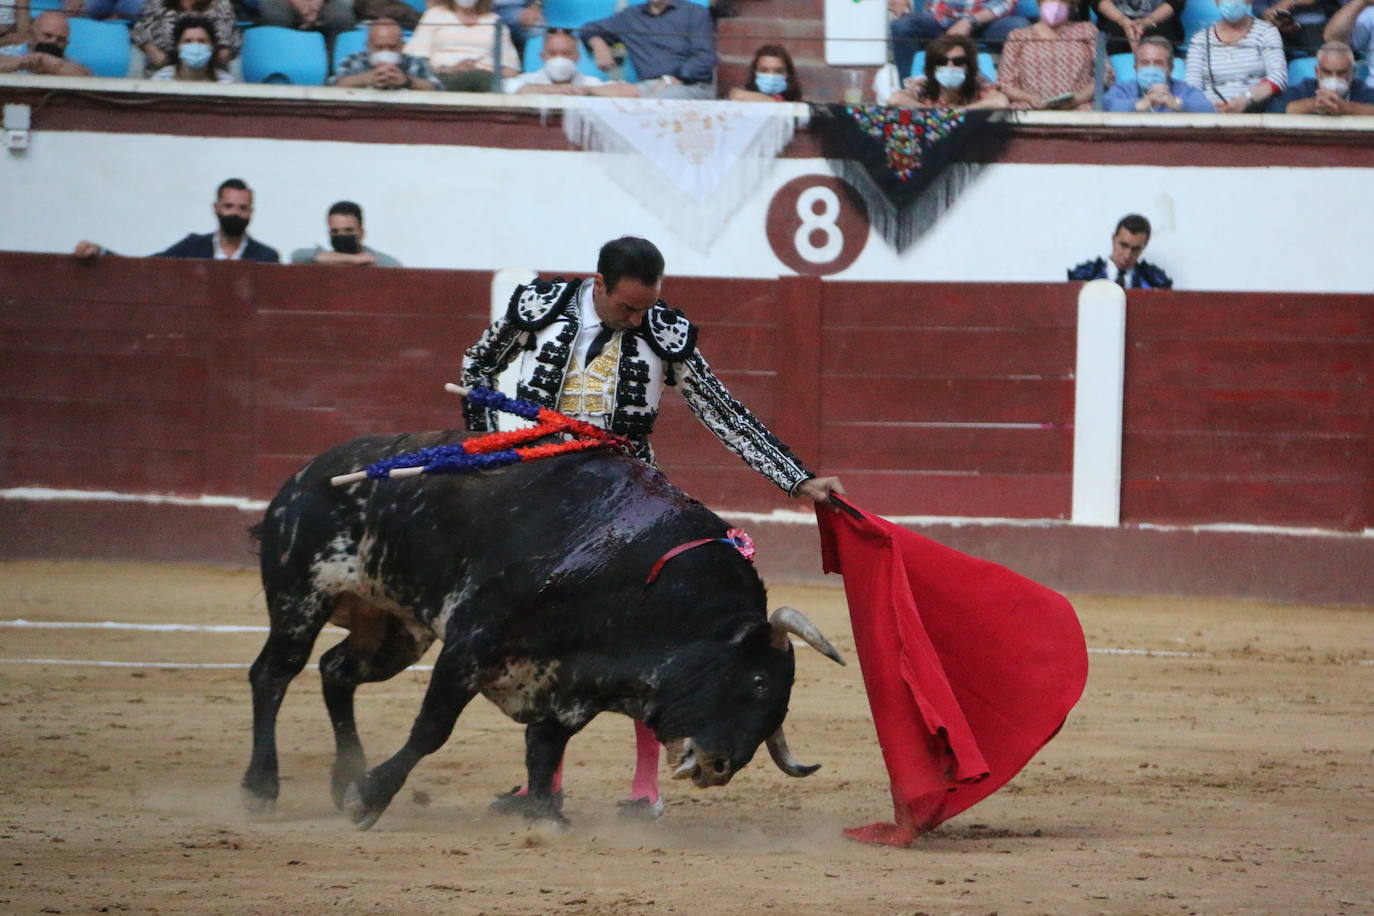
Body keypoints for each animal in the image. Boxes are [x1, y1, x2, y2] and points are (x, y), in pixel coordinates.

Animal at [241, 431, 840, 829]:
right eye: (758, 683)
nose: (719, 768)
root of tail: (305, 474)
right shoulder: (469, 647)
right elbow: (432, 730)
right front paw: (371, 798)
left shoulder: (569, 686)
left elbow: (545, 747)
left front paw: (547, 817)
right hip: (301, 595)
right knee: (274, 673)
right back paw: (261, 788)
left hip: (393, 631)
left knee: (336, 670)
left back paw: (342, 776)